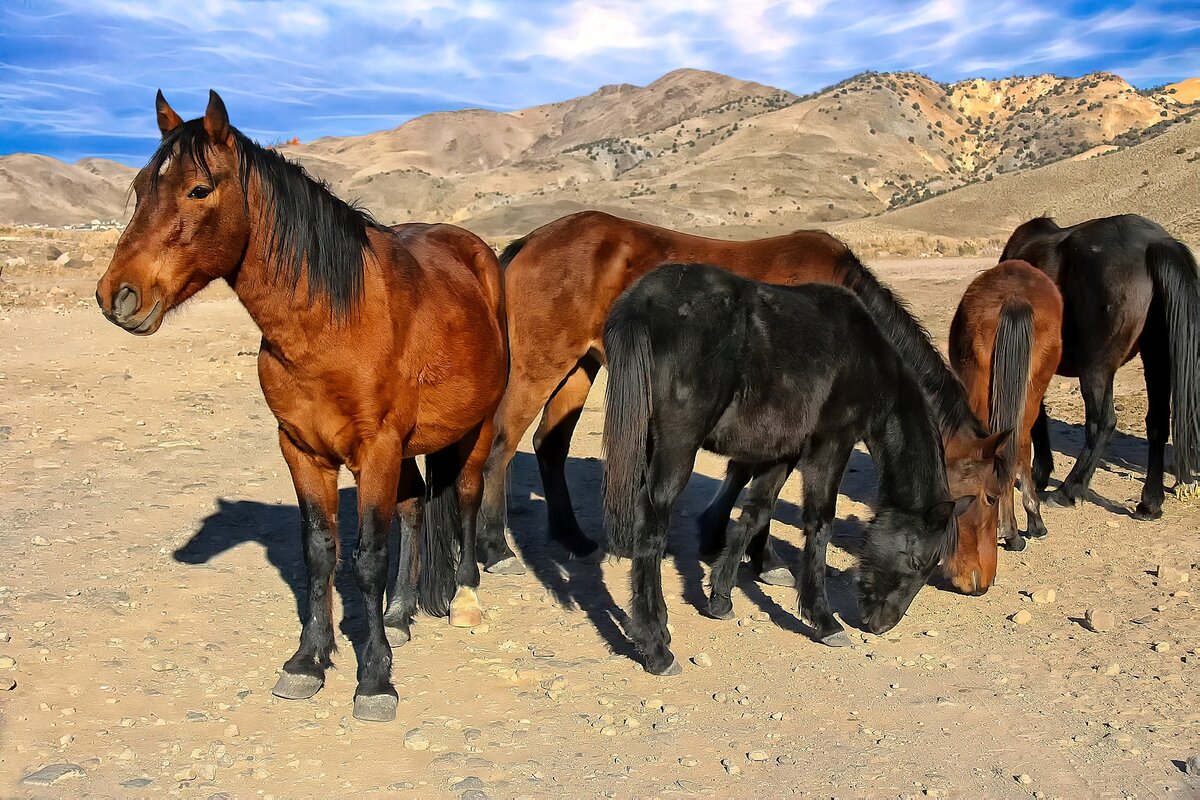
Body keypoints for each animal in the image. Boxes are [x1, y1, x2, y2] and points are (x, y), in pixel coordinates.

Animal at [95, 91, 507, 723]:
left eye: (199, 189)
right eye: (141, 187)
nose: (116, 296)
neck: (334, 321)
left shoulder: (376, 449)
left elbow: (367, 556)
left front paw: (375, 679)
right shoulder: (301, 449)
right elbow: (319, 552)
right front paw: (309, 661)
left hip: (475, 427)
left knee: (463, 496)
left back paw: (463, 600)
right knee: (416, 508)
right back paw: (399, 614)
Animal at [482, 211, 1005, 585]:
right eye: (987, 497)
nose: (980, 581)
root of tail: (531, 241)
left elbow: (743, 476)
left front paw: (719, 537)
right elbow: (760, 488)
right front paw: (763, 557)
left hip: (580, 367)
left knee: (550, 444)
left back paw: (573, 537)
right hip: (540, 365)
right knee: (501, 444)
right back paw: (495, 548)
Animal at [601, 263, 975, 675]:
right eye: (916, 561)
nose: (881, 624)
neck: (868, 356)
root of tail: (644, 299)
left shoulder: (784, 450)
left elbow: (755, 512)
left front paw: (721, 597)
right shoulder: (832, 442)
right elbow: (820, 522)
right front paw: (824, 620)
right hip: (677, 448)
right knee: (652, 526)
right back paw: (656, 646)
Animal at [1001, 215, 1200, 518]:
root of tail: (1155, 243)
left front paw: (1038, 473)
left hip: (1096, 369)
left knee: (1102, 422)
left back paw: (1068, 490)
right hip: (1154, 357)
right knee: (1156, 422)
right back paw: (1150, 503)